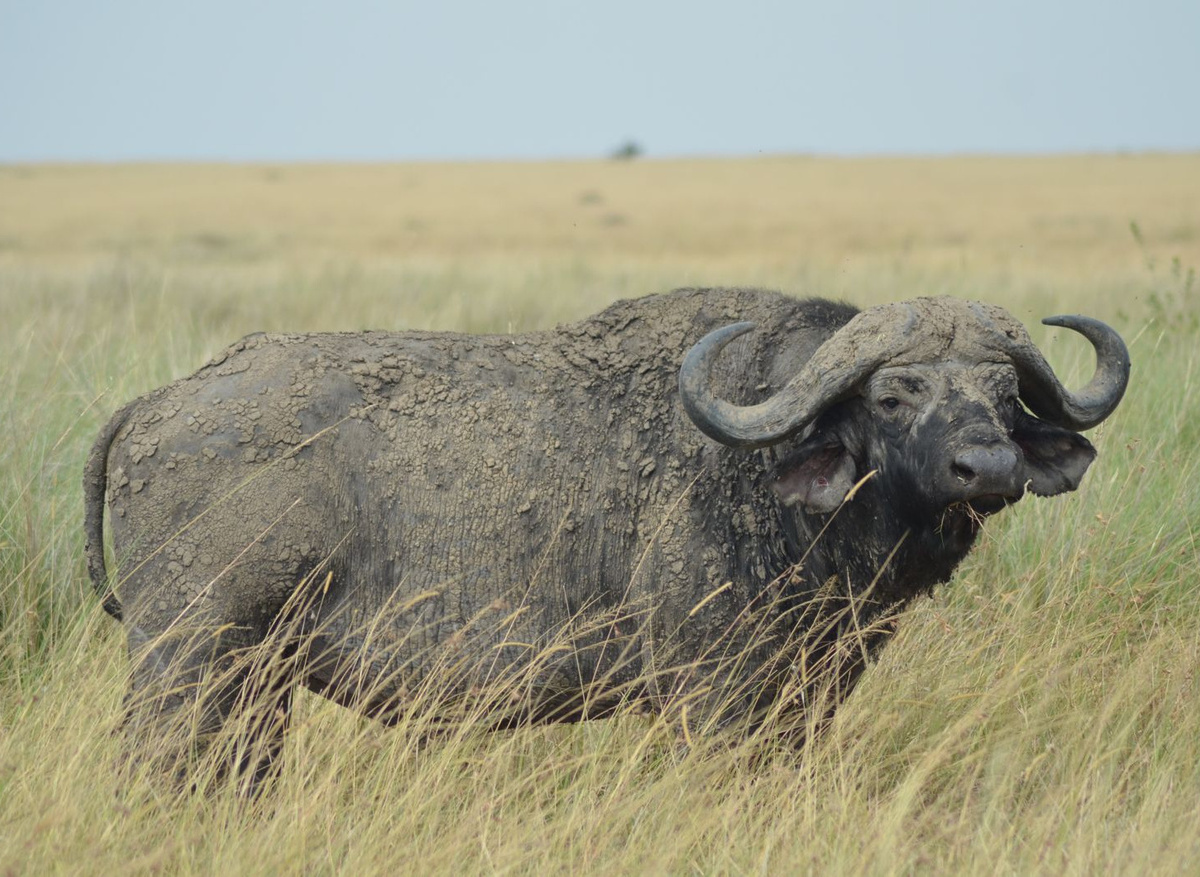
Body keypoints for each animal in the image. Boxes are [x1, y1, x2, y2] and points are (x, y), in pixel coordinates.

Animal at [84, 287, 1129, 786]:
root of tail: (162, 401)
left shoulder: (811, 692)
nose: (986, 466)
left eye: (1002, 391)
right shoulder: (712, 696)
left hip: (254, 683)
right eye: (894, 392)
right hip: (189, 659)